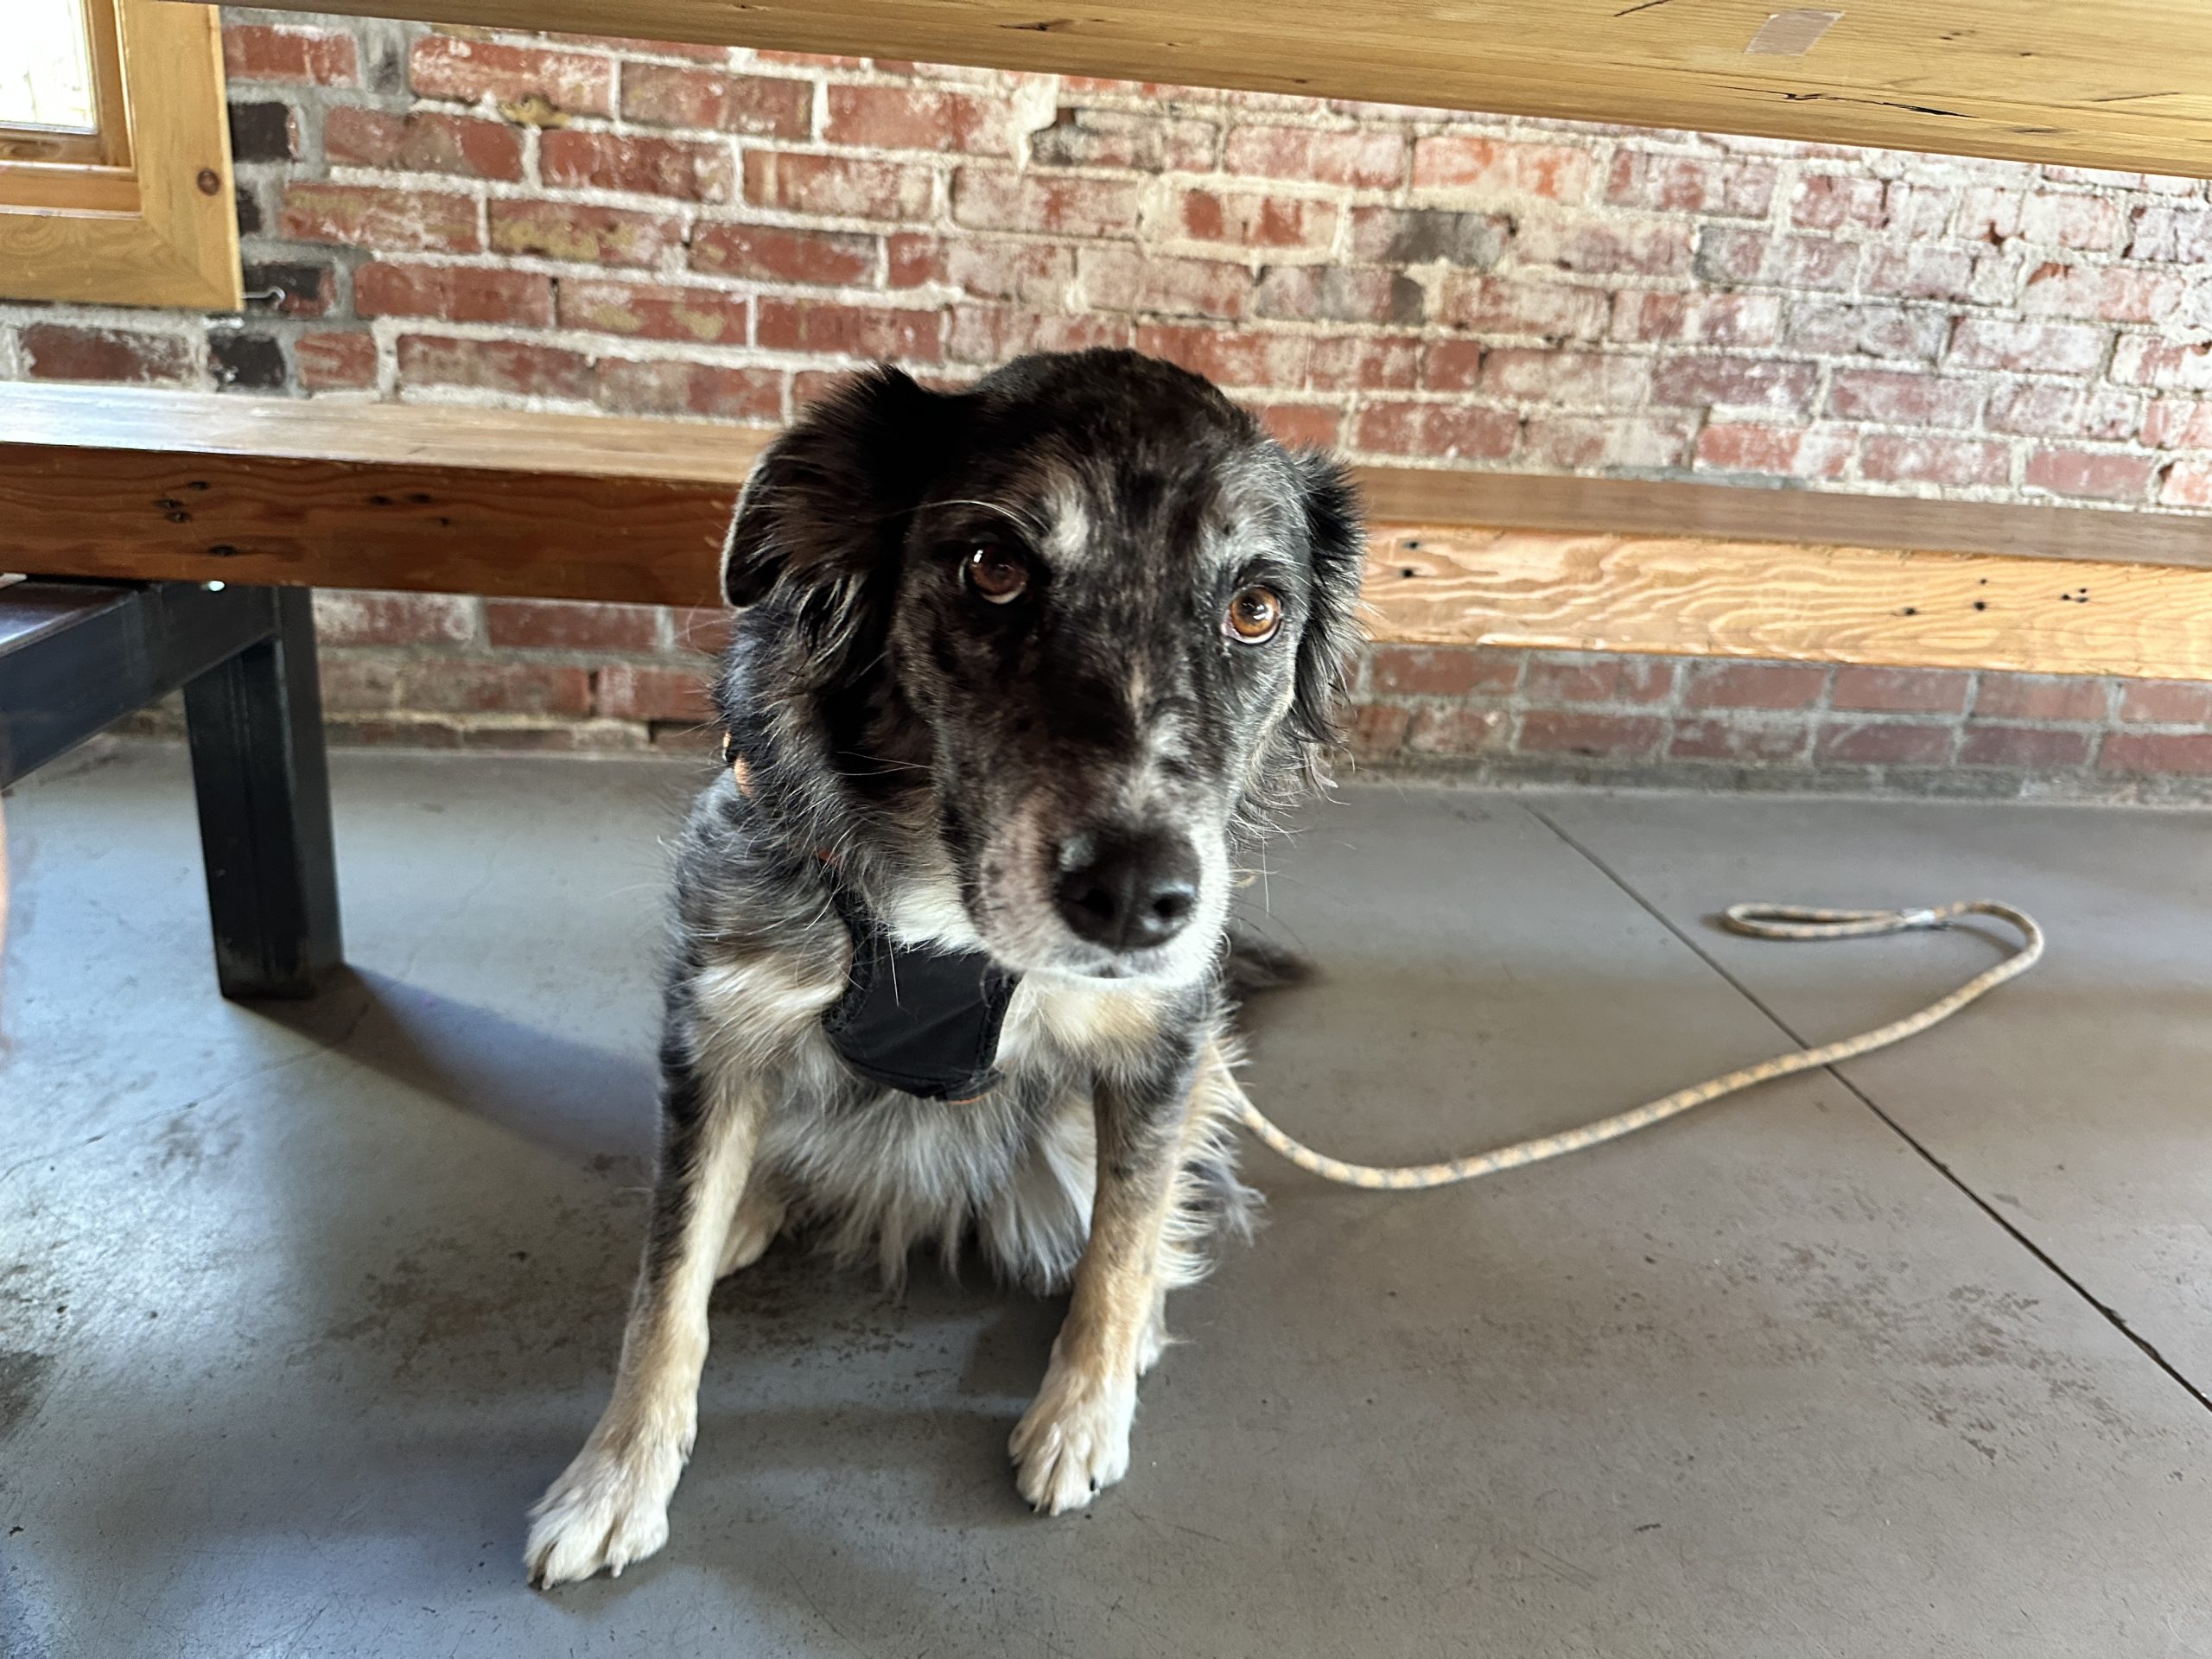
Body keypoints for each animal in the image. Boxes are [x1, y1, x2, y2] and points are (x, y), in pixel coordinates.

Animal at [525, 348, 1366, 1586]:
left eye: (1254, 610)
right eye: (994, 568)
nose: (1141, 902)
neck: (948, 918)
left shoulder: (1166, 1042)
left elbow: (1123, 1242)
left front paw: (1084, 1411)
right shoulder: (716, 1022)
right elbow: (662, 1291)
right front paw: (614, 1479)